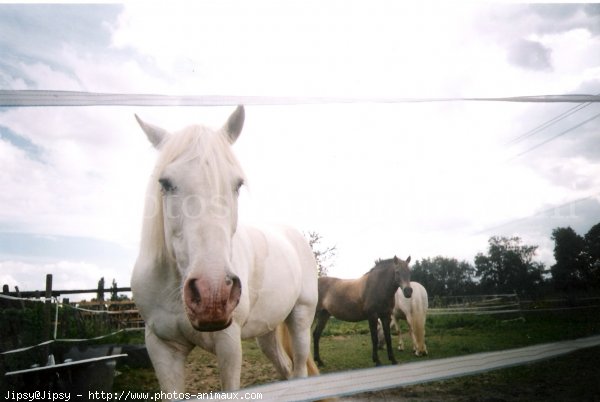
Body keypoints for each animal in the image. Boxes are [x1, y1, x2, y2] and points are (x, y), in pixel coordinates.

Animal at [131, 105, 318, 398]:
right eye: (165, 182)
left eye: (238, 184)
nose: (212, 295)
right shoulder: (162, 347)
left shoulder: (229, 343)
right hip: (267, 332)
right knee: (285, 370)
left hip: (301, 318)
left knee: (298, 371)